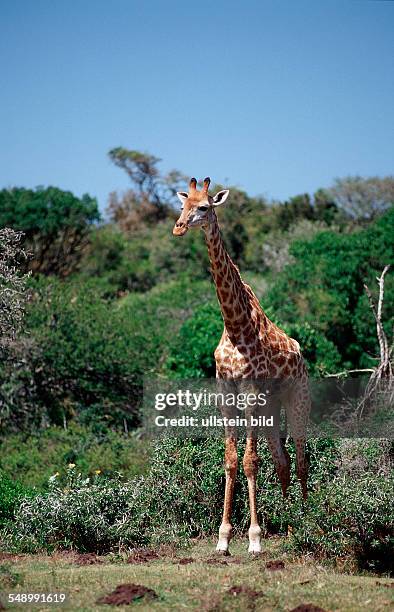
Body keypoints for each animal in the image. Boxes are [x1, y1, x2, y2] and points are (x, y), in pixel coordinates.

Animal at [173, 176, 310, 556]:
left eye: (205, 207)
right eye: (182, 205)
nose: (178, 227)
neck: (235, 327)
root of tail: (301, 355)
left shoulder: (249, 392)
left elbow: (250, 462)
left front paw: (254, 539)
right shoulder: (225, 391)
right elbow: (232, 461)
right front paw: (222, 538)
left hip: (297, 399)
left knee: (301, 459)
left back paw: (309, 523)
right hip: (272, 406)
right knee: (282, 460)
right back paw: (290, 528)